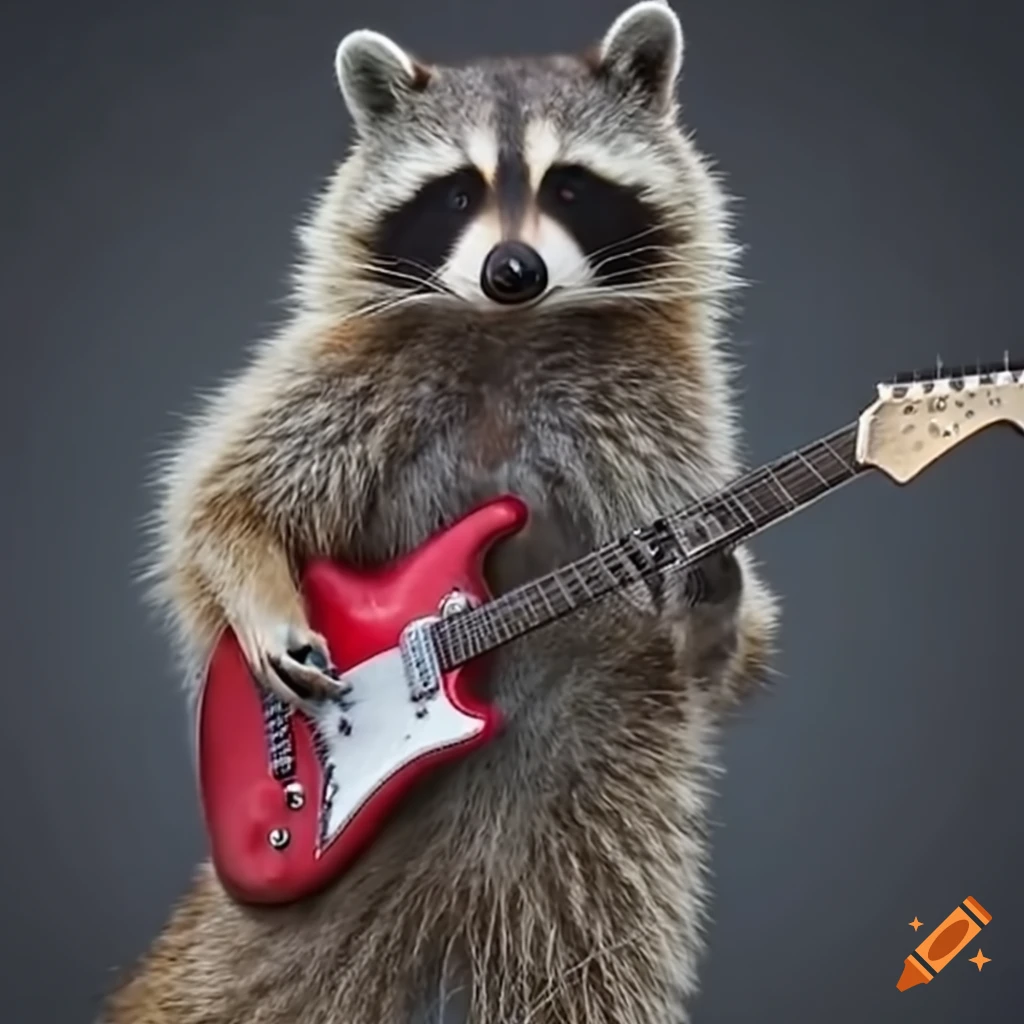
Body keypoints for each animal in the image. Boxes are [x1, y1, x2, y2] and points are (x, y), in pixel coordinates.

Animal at [103, 3, 778, 1022]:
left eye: (570, 186)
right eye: (456, 193)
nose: (513, 269)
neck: (511, 329)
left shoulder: (665, 421)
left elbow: (720, 668)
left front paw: (706, 589)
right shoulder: (352, 376)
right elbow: (224, 502)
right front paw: (268, 616)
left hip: (599, 838)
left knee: (584, 972)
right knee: (229, 988)